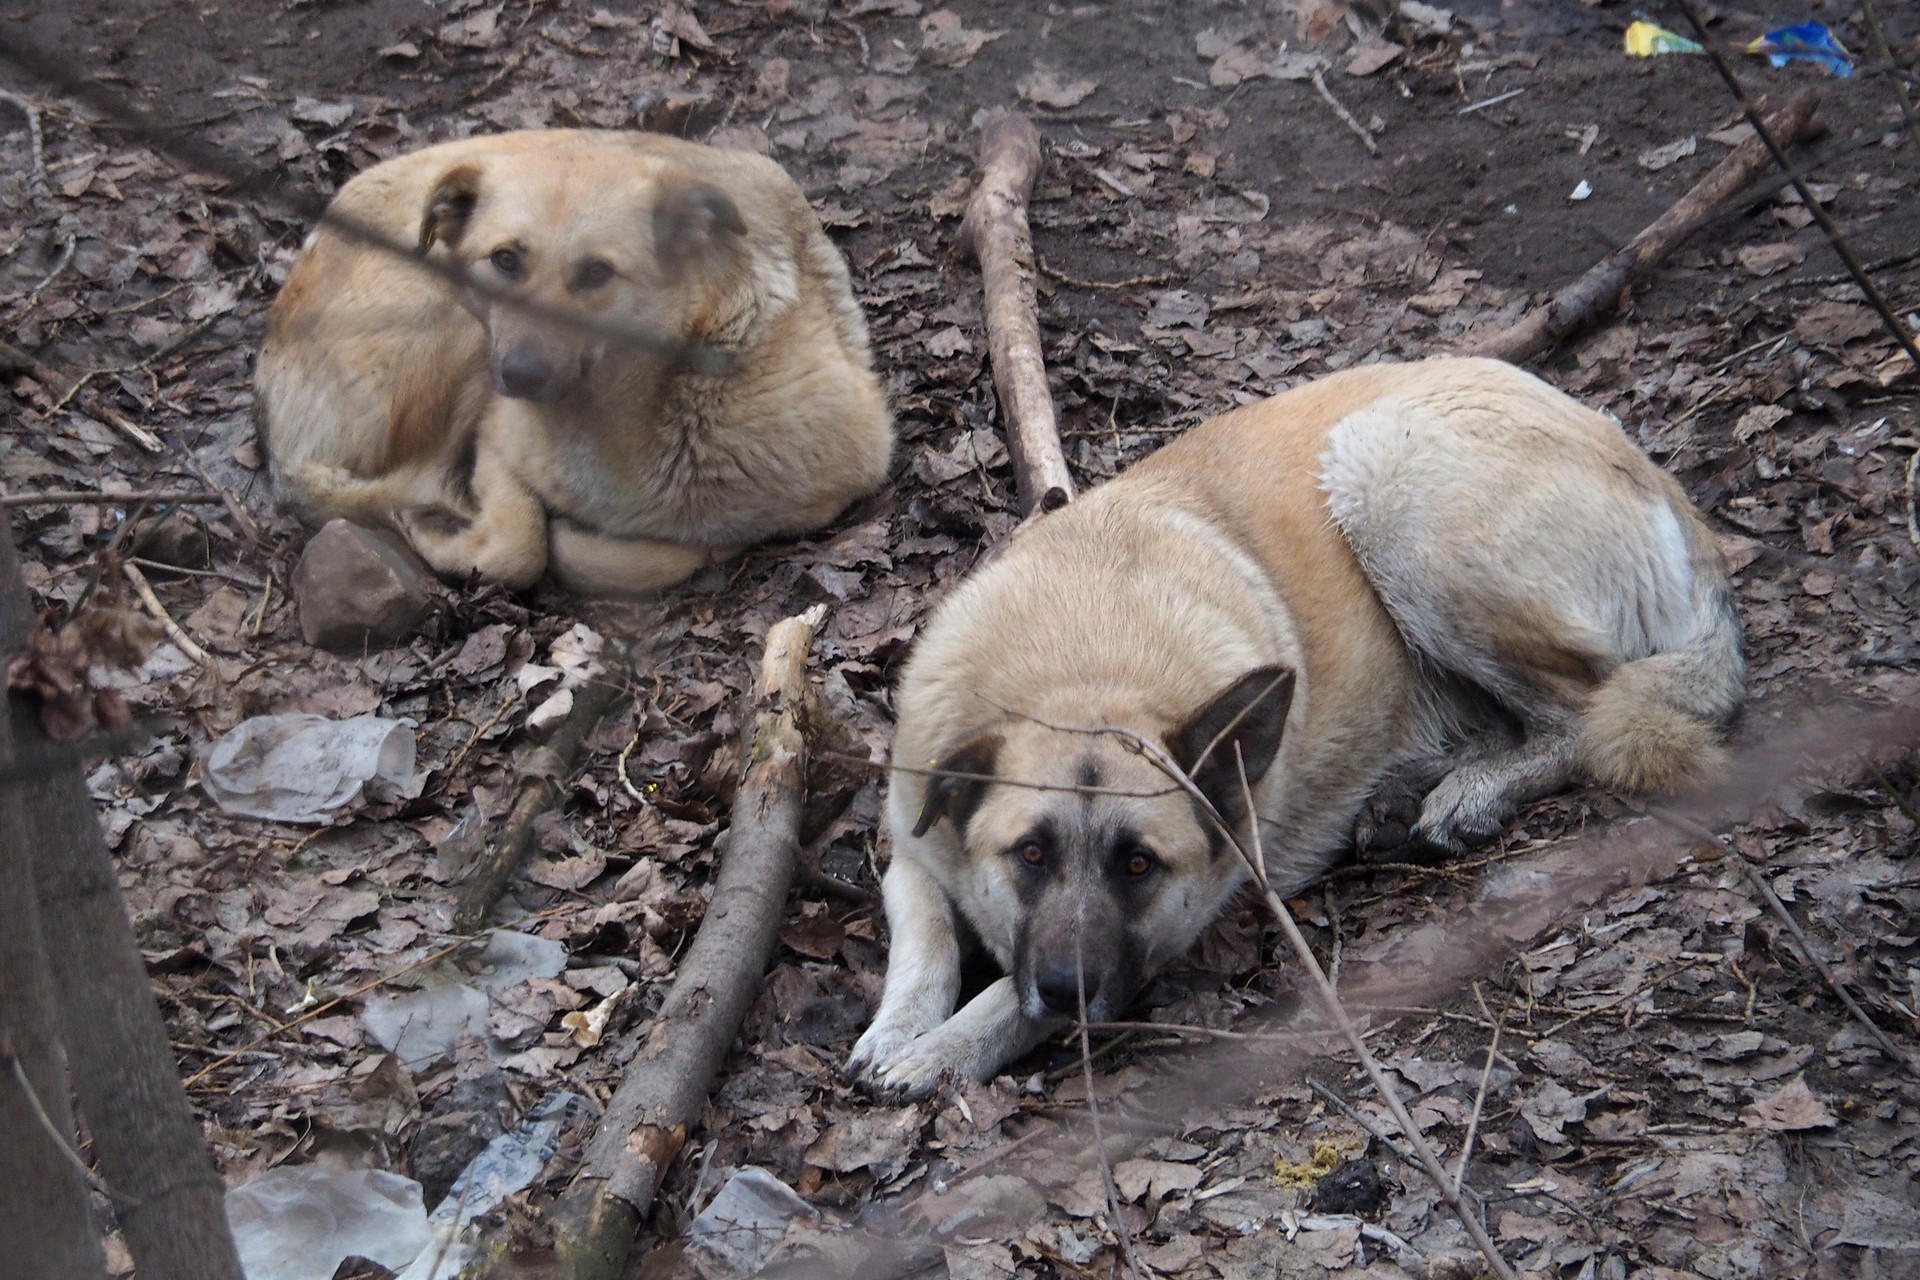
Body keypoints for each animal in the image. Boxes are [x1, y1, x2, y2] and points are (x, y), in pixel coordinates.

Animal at [249, 130, 898, 591]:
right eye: (505, 259)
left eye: (595, 273)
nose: (519, 376)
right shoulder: (496, 438)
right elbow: (522, 546)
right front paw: (456, 534)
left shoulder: (839, 485)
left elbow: (655, 553)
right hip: (453, 324)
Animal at [852, 355, 1743, 1097]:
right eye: (1029, 856)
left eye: (1138, 866)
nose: (1069, 988)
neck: (1083, 667)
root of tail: (1649, 469)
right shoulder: (912, 845)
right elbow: (927, 939)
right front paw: (898, 1031)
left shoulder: (1167, 929)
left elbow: (1010, 996)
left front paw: (940, 1051)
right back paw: (1402, 800)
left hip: (1389, 481)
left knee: (1579, 714)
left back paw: (1471, 795)